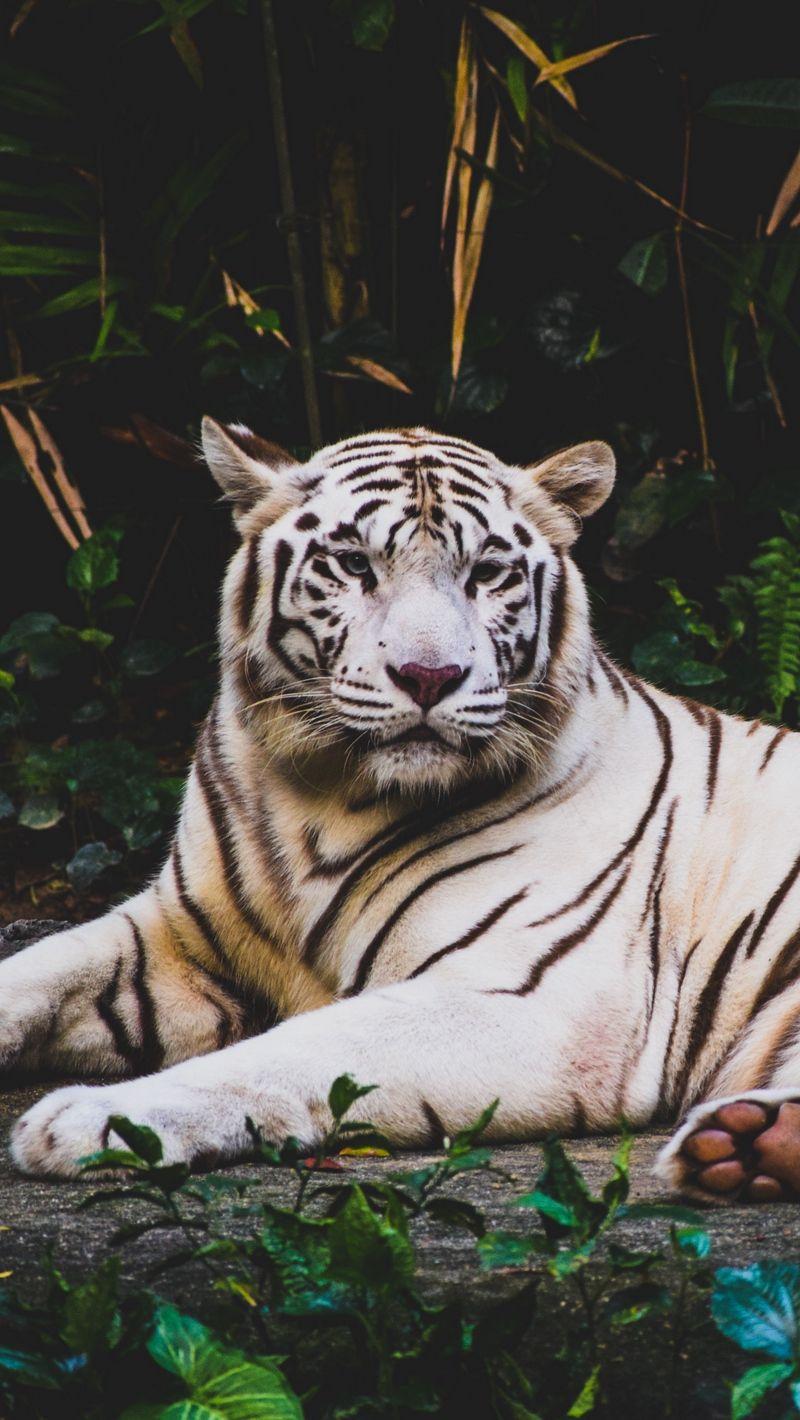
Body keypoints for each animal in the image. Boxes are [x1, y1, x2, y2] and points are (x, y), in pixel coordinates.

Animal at [5, 419, 800, 1206]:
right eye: (355, 564)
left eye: (487, 573)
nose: (429, 676)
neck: (322, 796)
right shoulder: (174, 934)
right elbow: (35, 969)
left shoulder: (541, 1001)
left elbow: (295, 1051)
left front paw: (94, 1121)